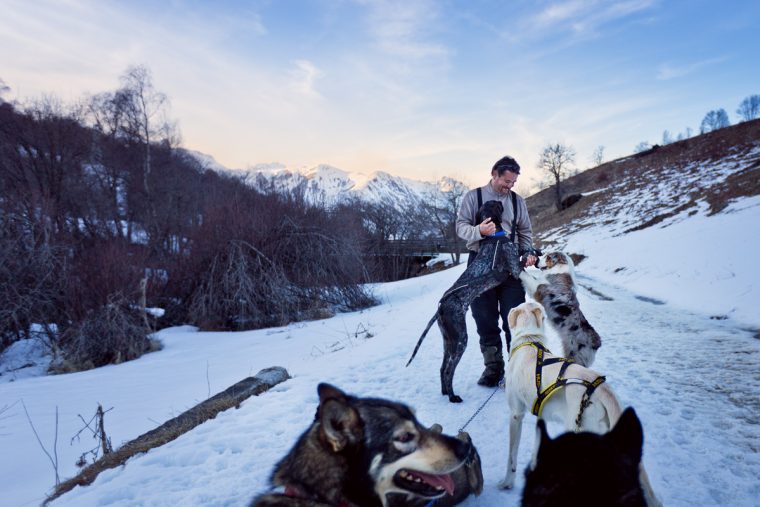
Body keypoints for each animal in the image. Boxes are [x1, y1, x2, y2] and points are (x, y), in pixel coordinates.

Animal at [406, 200, 532, 402]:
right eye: (494, 203)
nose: (499, 200)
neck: (494, 237)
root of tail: (441, 308)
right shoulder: (514, 267)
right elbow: (522, 257)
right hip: (460, 339)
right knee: (448, 370)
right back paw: (452, 396)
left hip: (448, 341)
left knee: (442, 368)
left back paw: (445, 392)